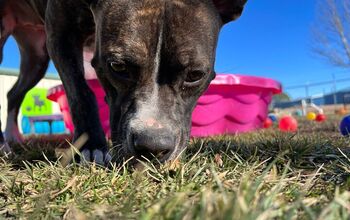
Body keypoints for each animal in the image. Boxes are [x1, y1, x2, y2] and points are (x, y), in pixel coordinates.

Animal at [0, 0, 246, 165]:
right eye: (118, 67)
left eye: (195, 74)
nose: (153, 147)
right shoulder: (60, 32)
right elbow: (81, 93)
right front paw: (91, 146)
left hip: (37, 58)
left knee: (14, 94)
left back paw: (12, 136)